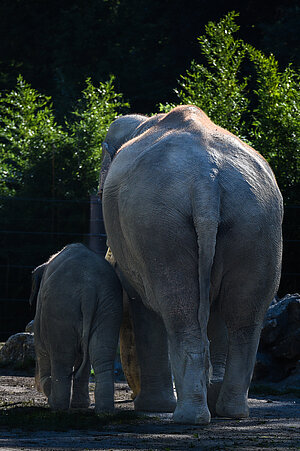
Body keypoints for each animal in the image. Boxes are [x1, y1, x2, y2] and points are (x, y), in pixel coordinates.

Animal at [29, 244, 122, 414]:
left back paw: (57, 406)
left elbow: (42, 350)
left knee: (62, 358)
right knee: (101, 354)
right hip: (109, 305)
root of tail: (88, 289)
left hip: (61, 308)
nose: (36, 386)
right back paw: (104, 412)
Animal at [99, 105, 282, 424]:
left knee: (180, 315)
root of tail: (206, 180)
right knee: (244, 319)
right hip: (257, 220)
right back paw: (230, 412)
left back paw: (188, 417)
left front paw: (154, 407)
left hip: (159, 225)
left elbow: (141, 303)